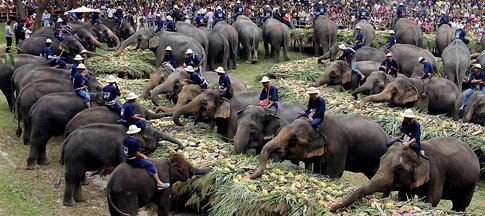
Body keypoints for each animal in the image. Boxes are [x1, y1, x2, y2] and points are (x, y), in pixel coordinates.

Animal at [250, 115, 390, 179]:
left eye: (293, 140)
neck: (318, 125)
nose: (250, 175)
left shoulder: (338, 148)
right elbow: (318, 170)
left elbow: (333, 173)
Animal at [330, 138, 478, 212]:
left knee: (461, 204)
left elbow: (432, 200)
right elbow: (404, 197)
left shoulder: (437, 173)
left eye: (399, 168)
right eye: (381, 160)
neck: (418, 151)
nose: (331, 208)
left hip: (471, 183)